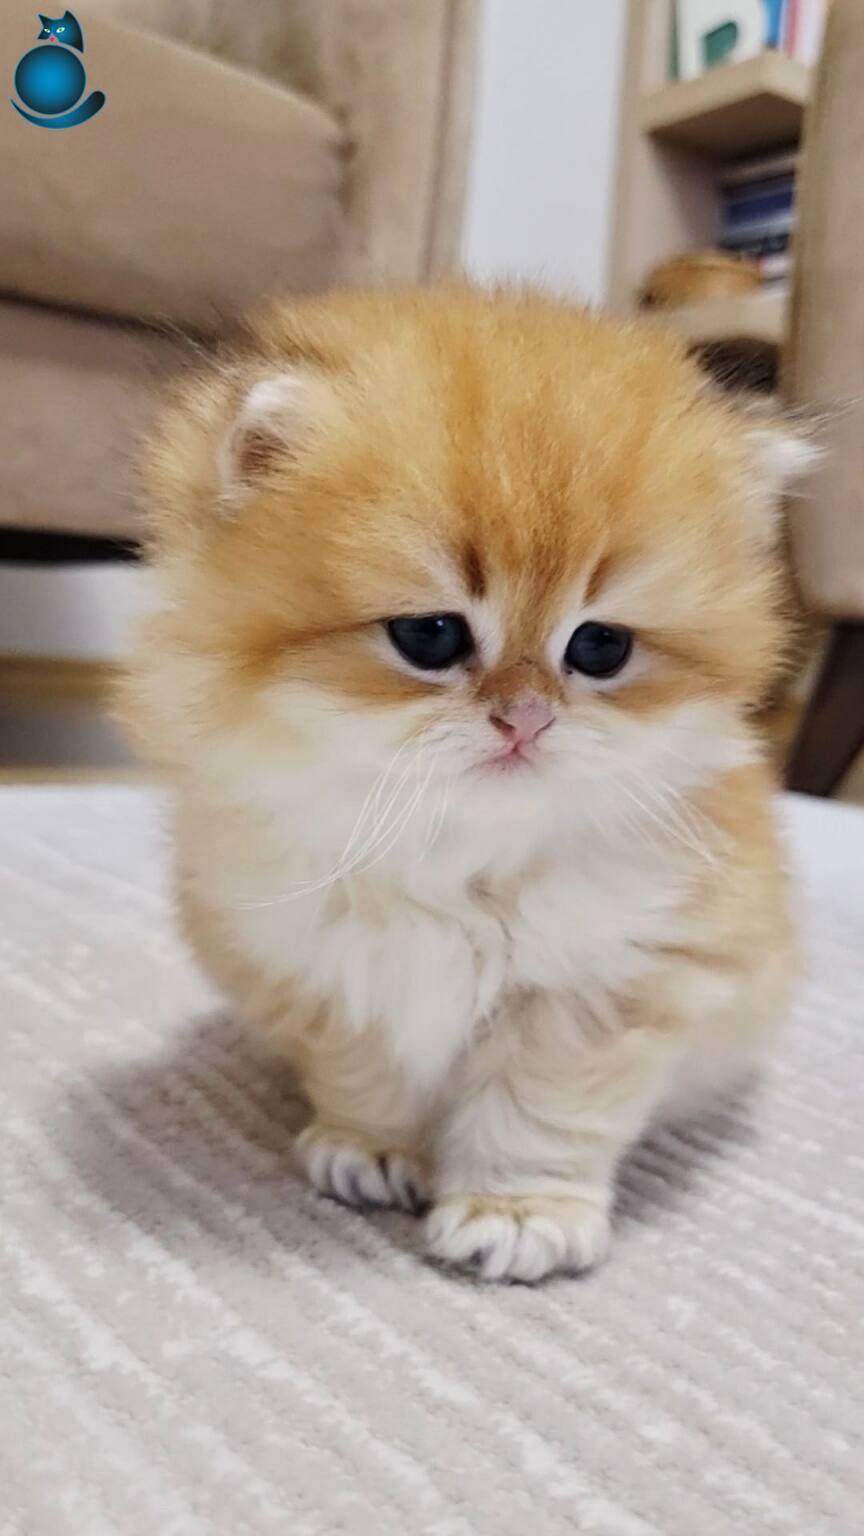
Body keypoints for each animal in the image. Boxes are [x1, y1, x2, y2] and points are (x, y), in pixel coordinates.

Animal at [126, 285, 815, 1283]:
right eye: (431, 636)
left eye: (600, 648)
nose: (525, 718)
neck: (455, 853)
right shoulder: (327, 966)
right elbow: (369, 1074)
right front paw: (373, 1152)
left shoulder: (605, 984)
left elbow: (541, 1111)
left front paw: (516, 1212)